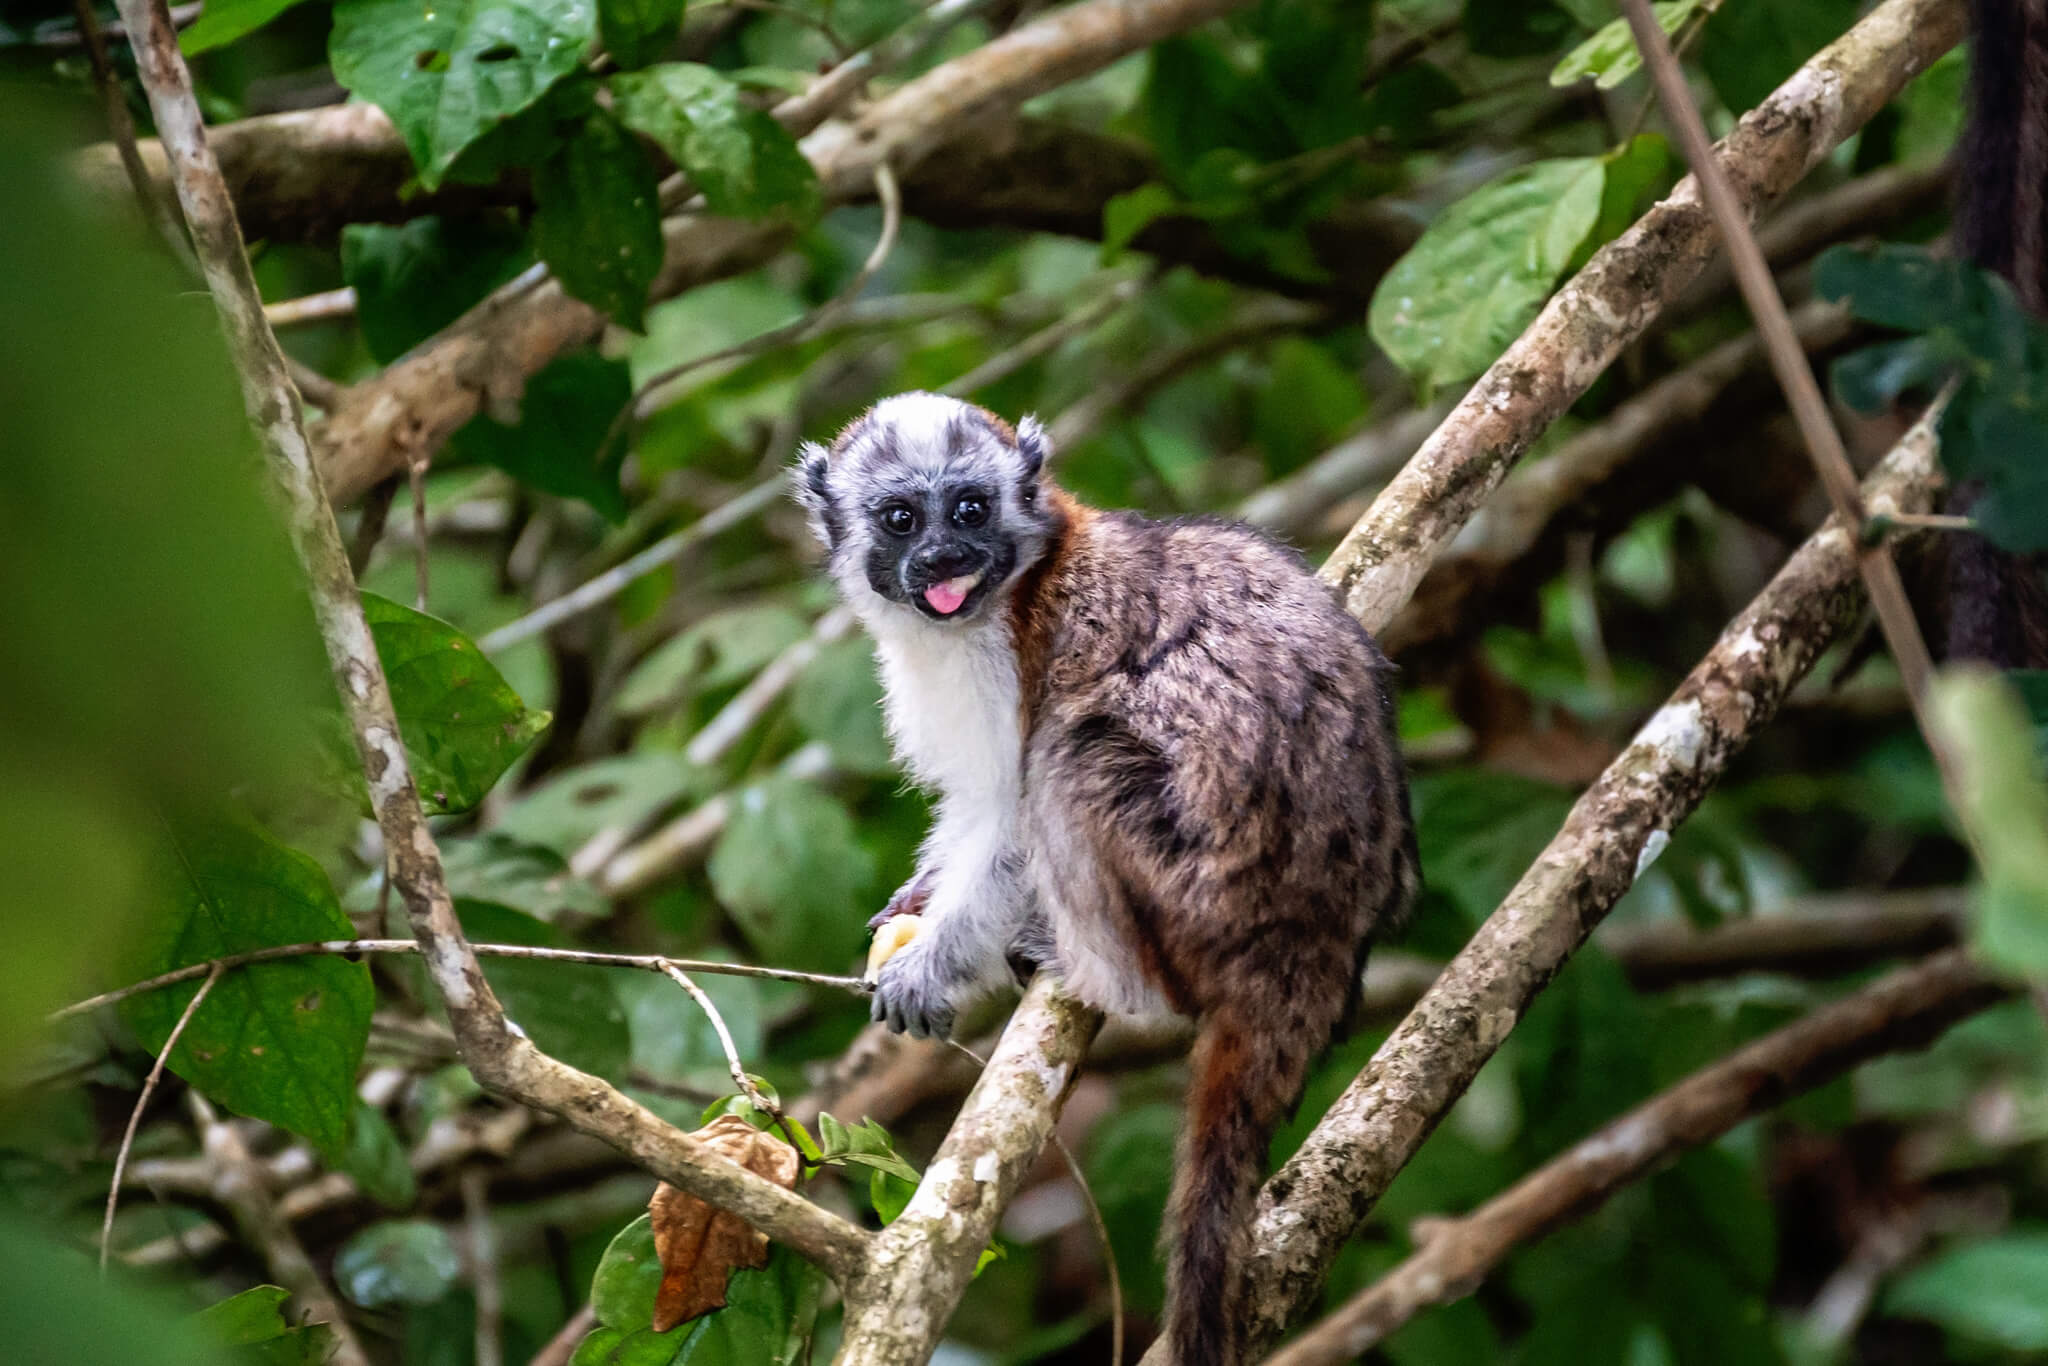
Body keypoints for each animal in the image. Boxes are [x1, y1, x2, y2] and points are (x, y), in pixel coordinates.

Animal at [790, 389, 1417, 1359]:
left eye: (969, 510)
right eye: (901, 520)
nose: (945, 561)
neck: (1002, 593)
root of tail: (1312, 944)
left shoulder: (1008, 664)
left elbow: (1009, 816)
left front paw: (934, 962)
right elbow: (975, 813)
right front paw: (918, 899)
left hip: (1207, 891)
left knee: (1072, 754)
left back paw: (1115, 983)